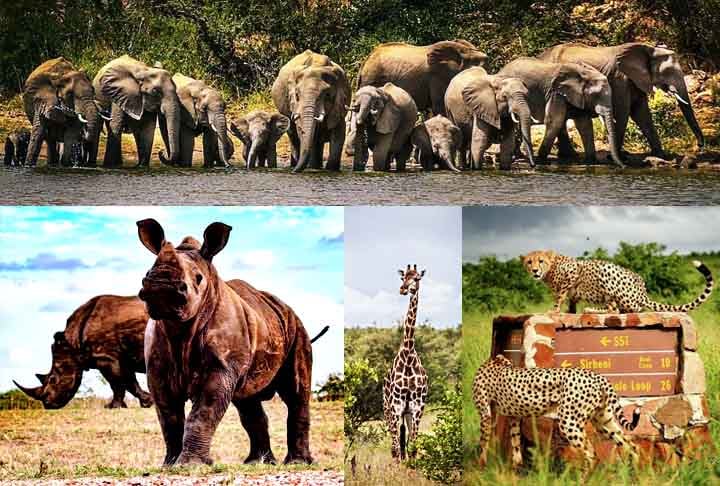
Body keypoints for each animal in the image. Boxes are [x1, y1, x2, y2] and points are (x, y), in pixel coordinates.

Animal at [14, 294, 152, 409]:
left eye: (53, 379)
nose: (48, 405)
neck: (72, 343)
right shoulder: (118, 357)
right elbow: (128, 381)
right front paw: (147, 402)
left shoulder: (105, 356)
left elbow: (117, 382)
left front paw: (112, 406)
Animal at [136, 219, 329, 465]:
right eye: (147, 273)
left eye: (198, 278)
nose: (161, 287)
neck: (179, 328)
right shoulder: (157, 369)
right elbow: (168, 415)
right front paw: (170, 464)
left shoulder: (221, 366)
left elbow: (204, 411)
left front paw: (190, 465)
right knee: (247, 402)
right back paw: (257, 462)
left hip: (296, 327)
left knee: (295, 393)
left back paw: (297, 463)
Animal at [539, 42, 705, 159]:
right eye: (668, 72)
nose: (699, 146)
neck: (649, 48)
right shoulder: (620, 79)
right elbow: (623, 112)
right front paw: (616, 157)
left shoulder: (636, 79)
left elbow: (641, 114)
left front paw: (661, 155)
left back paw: (568, 155)